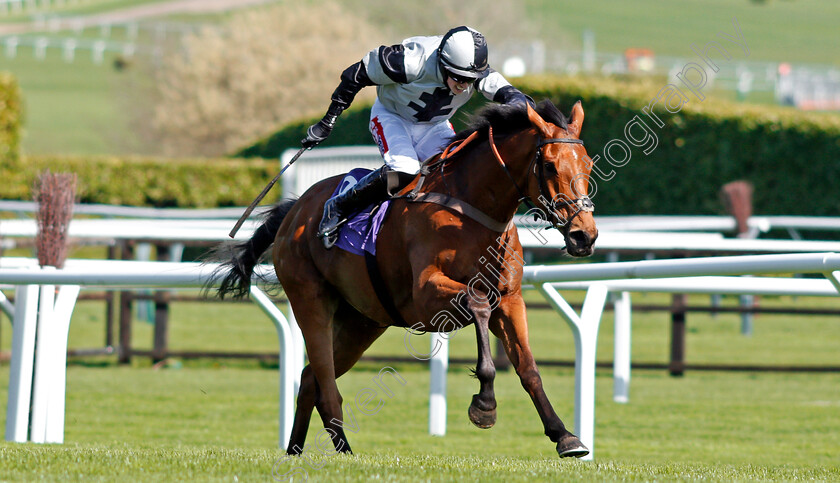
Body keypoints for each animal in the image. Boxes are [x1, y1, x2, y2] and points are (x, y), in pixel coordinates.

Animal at [213, 100, 600, 460]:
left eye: (588, 164)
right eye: (549, 165)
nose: (584, 235)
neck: (472, 210)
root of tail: (295, 209)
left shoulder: (510, 298)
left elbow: (528, 367)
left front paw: (566, 436)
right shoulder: (427, 296)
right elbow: (477, 303)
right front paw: (484, 405)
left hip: (362, 321)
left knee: (311, 378)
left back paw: (296, 450)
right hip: (310, 300)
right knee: (325, 381)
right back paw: (343, 451)